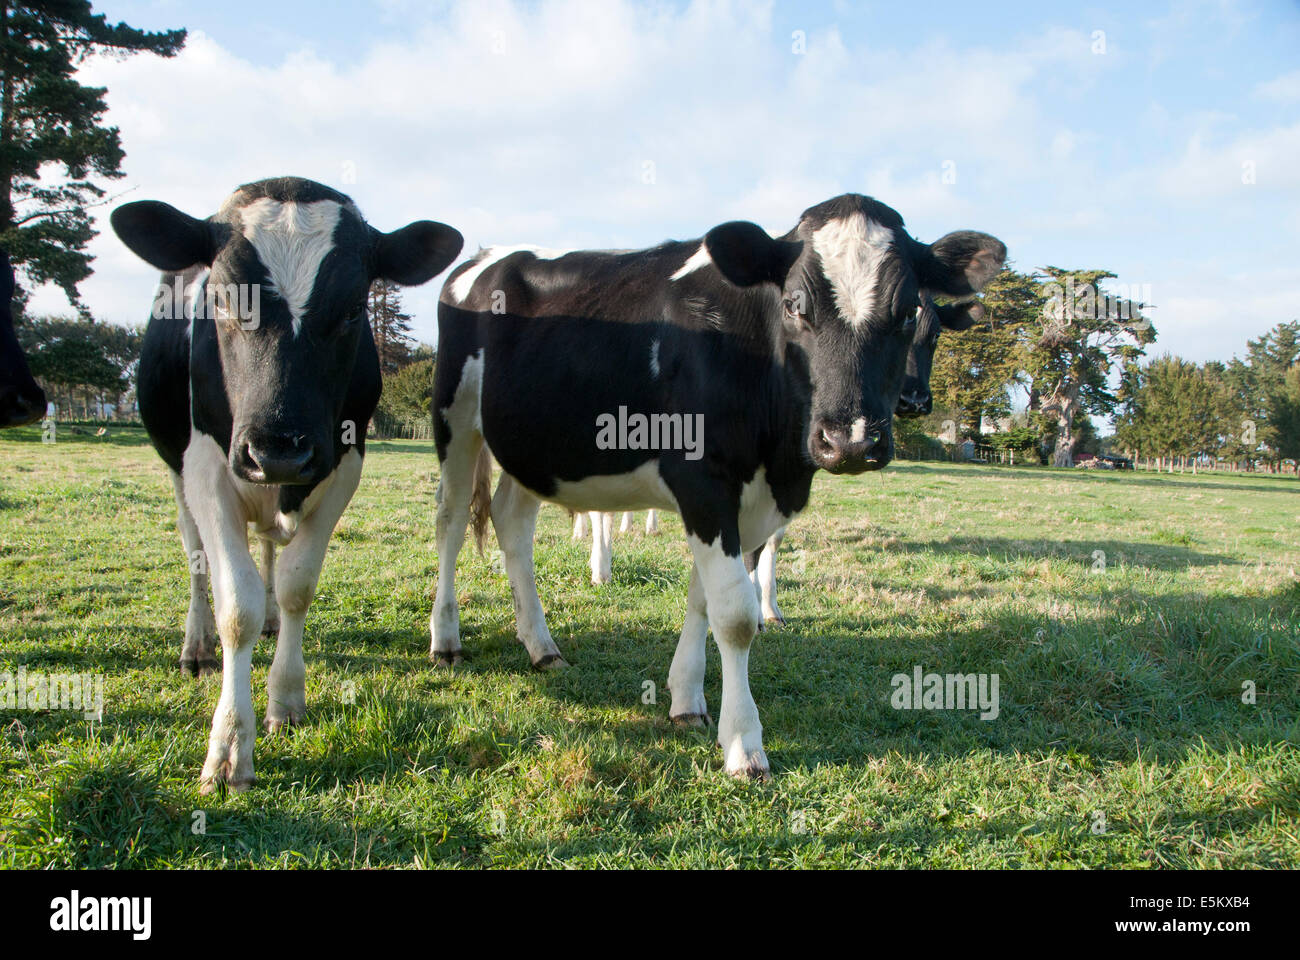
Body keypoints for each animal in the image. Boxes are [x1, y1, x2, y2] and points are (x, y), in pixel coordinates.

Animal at [110, 177, 462, 792]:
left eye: (353, 309)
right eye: (222, 300)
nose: (278, 448)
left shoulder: (342, 466)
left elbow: (297, 583)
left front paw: (286, 697)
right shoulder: (206, 469)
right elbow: (236, 606)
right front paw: (229, 745)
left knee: (271, 553)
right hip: (179, 472)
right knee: (196, 557)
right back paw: (196, 645)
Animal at [429, 193, 1004, 778]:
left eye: (908, 313)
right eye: (794, 305)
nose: (849, 440)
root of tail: (485, 256)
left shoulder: (747, 503)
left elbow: (703, 601)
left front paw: (686, 699)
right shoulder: (703, 484)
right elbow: (735, 617)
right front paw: (744, 745)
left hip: (533, 447)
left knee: (511, 523)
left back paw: (541, 646)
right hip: (456, 415)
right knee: (450, 520)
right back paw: (446, 639)